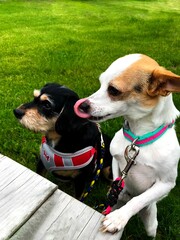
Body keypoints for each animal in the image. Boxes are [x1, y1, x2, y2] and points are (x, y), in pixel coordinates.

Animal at [74, 54, 179, 238]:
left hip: (151, 222)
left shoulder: (166, 183)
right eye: (100, 83)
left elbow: (140, 199)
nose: (82, 105)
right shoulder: (117, 162)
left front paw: (118, 218)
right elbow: (117, 181)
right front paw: (116, 192)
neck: (138, 140)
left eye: (114, 90)